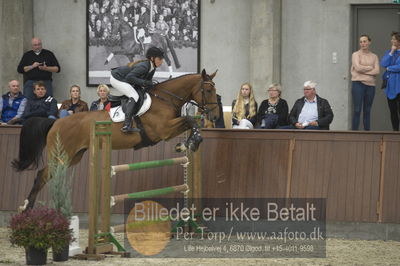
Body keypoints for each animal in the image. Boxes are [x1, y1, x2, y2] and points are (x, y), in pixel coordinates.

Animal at [12, 69, 219, 211]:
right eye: (208, 90)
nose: (215, 115)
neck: (165, 99)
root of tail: (55, 122)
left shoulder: (169, 128)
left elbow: (190, 121)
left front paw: (186, 143)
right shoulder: (163, 130)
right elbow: (190, 119)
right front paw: (191, 142)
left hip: (73, 157)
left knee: (46, 175)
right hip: (62, 155)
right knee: (42, 175)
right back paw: (27, 208)